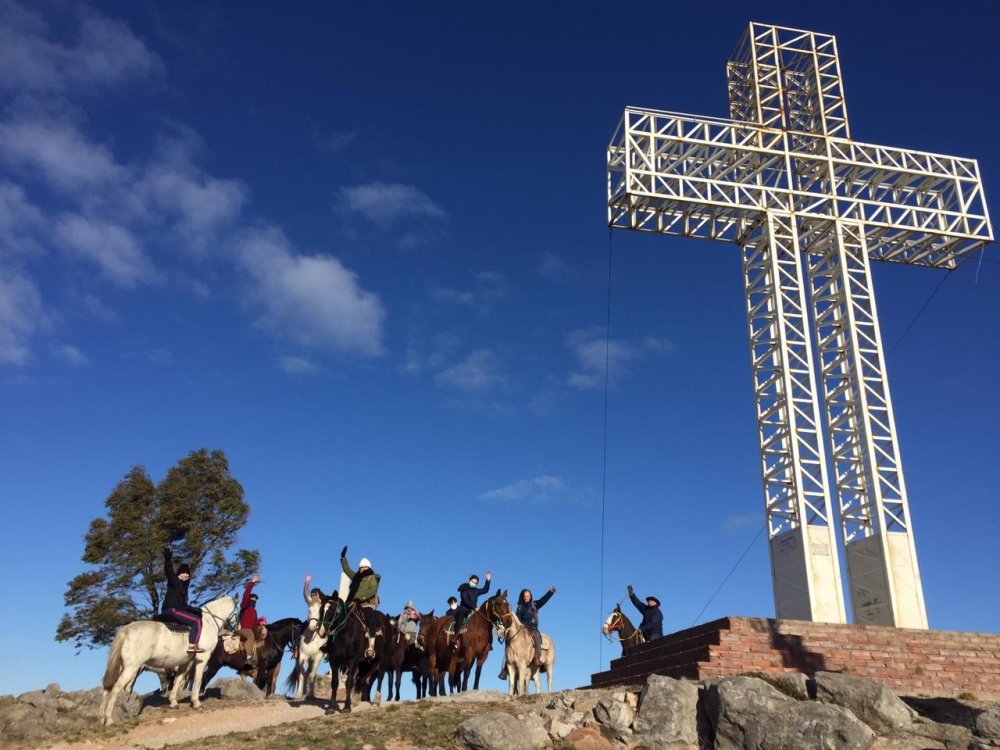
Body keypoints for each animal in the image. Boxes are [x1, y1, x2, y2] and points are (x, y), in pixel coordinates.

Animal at [97, 596, 238, 724]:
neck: (208, 622)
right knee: (116, 688)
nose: (236, 629)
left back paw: (101, 718)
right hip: (132, 668)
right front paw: (196, 702)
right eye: (238, 610)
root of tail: (126, 629)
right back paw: (109, 719)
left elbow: (179, 680)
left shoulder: (186, 662)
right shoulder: (202, 657)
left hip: (124, 667)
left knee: (107, 689)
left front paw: (173, 702)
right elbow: (197, 679)